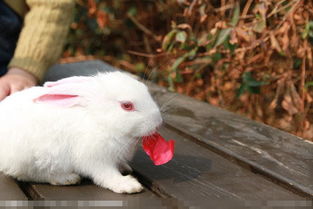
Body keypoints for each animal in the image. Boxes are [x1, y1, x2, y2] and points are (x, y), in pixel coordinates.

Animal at [0, 72, 162, 194]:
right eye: (127, 106)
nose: (158, 122)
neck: (100, 120)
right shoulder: (96, 159)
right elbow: (106, 175)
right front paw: (128, 185)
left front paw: (124, 167)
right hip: (29, 158)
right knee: (30, 175)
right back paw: (67, 178)